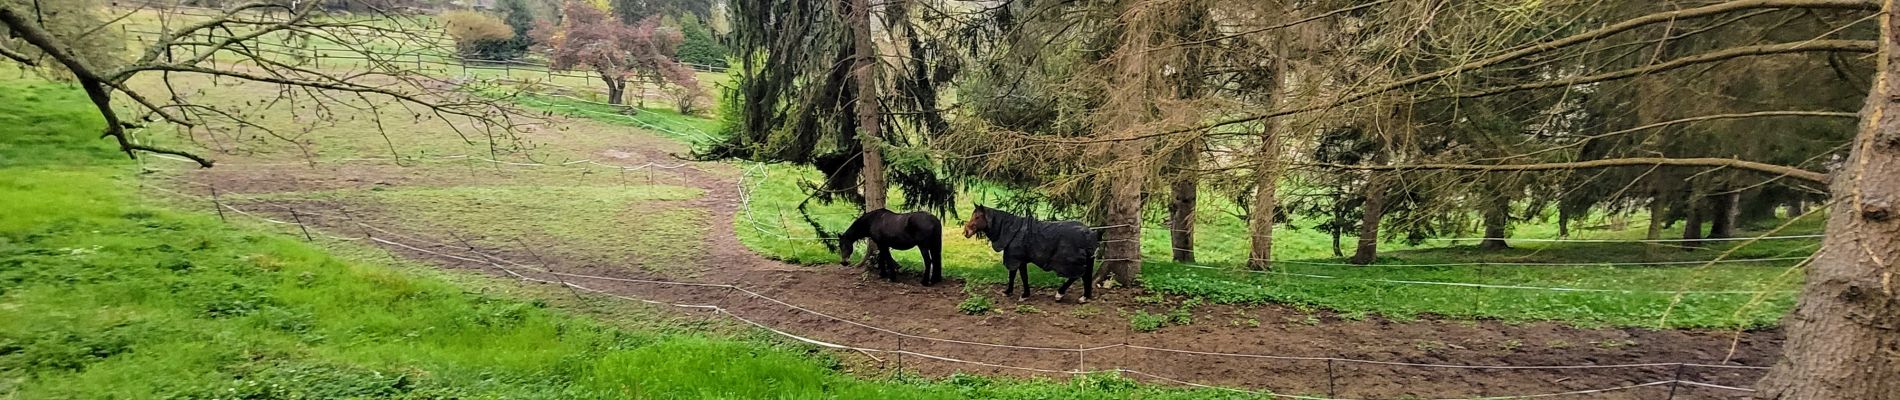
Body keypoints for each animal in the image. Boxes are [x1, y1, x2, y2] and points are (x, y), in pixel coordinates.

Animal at [965, 206, 1102, 303]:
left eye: (977, 217)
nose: (966, 231)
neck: (1013, 231)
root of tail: (1089, 233)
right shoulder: (1018, 259)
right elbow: (1014, 276)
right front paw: (1009, 292)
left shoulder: (1017, 259)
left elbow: (1020, 276)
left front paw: (1023, 295)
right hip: (1086, 260)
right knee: (1086, 276)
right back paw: (1084, 297)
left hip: (1069, 262)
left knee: (1077, 275)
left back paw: (1060, 294)